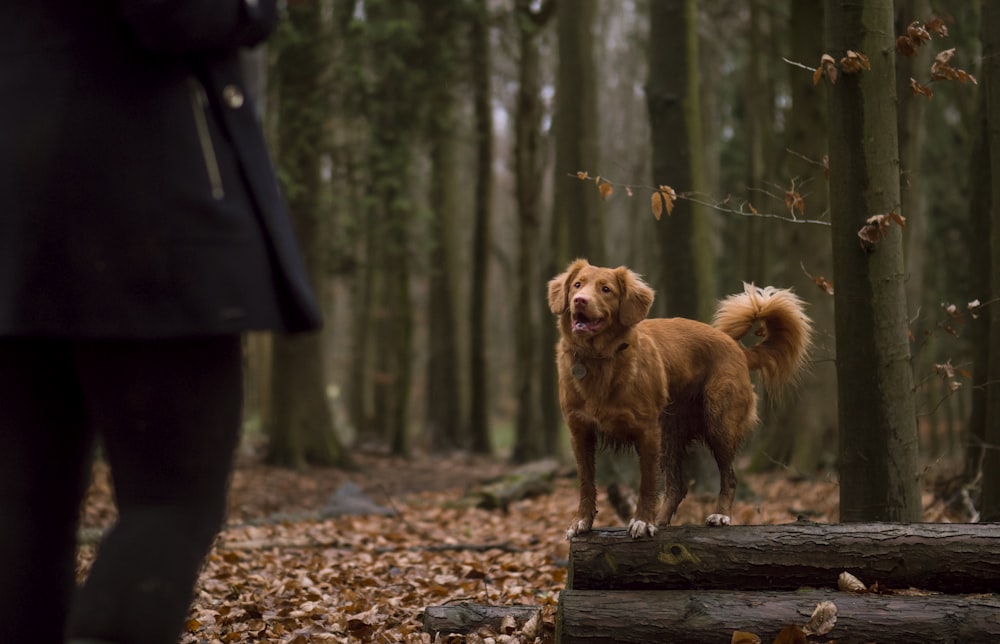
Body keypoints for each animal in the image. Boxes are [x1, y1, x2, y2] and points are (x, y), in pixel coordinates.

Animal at [548, 258, 812, 540]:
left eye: (606, 289)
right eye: (577, 285)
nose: (579, 300)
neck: (599, 359)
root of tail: (736, 347)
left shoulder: (647, 431)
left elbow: (647, 483)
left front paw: (642, 521)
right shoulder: (580, 432)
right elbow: (586, 482)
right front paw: (582, 521)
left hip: (718, 423)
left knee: (729, 477)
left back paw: (720, 515)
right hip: (670, 434)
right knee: (678, 485)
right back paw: (662, 521)